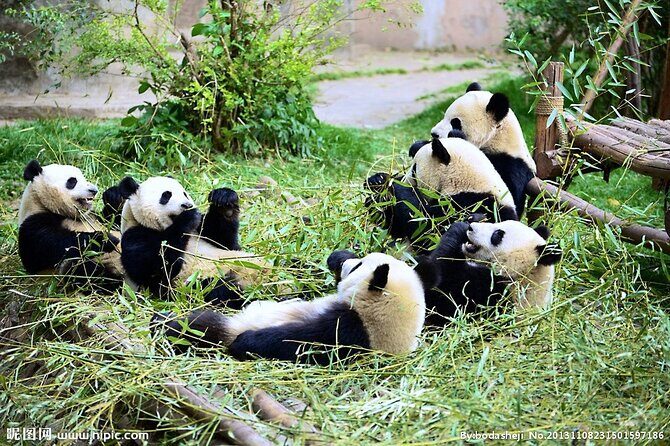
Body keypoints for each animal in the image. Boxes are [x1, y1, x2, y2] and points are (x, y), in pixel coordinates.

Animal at [18, 160, 124, 291]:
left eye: (83, 177)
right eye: (72, 181)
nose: (94, 190)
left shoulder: (94, 217)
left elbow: (115, 221)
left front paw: (113, 196)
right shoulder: (33, 224)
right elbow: (57, 244)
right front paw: (104, 239)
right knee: (85, 271)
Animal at [118, 175, 269, 308]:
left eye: (185, 194)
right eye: (166, 195)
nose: (187, 205)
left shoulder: (201, 231)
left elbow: (227, 243)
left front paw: (225, 201)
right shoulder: (135, 235)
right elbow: (156, 268)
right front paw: (187, 217)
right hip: (199, 282)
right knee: (219, 290)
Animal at [152, 250, 439, 365]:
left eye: (359, 266)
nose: (348, 264)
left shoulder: (350, 330)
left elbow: (297, 341)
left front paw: (245, 341)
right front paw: (336, 257)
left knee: (200, 327)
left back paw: (165, 322)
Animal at [365, 135, 517, 249]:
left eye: (414, 170)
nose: (404, 180)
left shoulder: (473, 203)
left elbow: (426, 227)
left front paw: (396, 188)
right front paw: (377, 183)